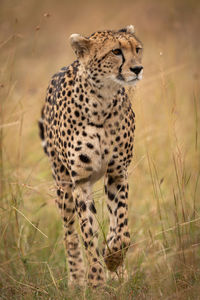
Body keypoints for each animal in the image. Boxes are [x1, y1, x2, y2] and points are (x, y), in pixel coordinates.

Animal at [38, 24, 142, 288]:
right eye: (116, 51)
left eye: (137, 49)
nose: (138, 68)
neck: (102, 101)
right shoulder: (80, 182)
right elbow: (87, 234)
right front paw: (96, 281)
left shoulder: (117, 174)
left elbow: (122, 228)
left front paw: (113, 261)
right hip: (62, 185)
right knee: (69, 233)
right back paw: (76, 279)